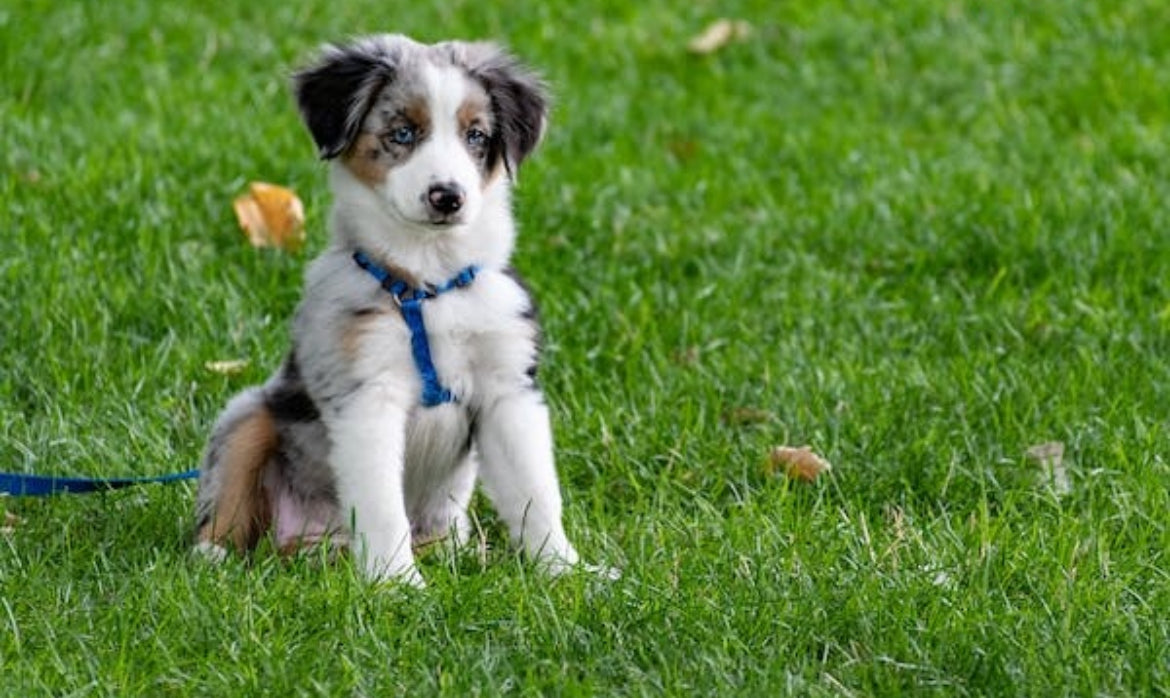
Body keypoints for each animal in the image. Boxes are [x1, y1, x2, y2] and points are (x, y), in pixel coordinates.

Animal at [191, 35, 603, 584]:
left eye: (476, 135)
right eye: (402, 133)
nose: (447, 197)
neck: (429, 283)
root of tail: (317, 544)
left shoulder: (508, 390)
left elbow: (536, 492)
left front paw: (567, 572)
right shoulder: (367, 395)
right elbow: (383, 505)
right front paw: (397, 584)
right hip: (248, 413)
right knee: (230, 496)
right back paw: (213, 555)